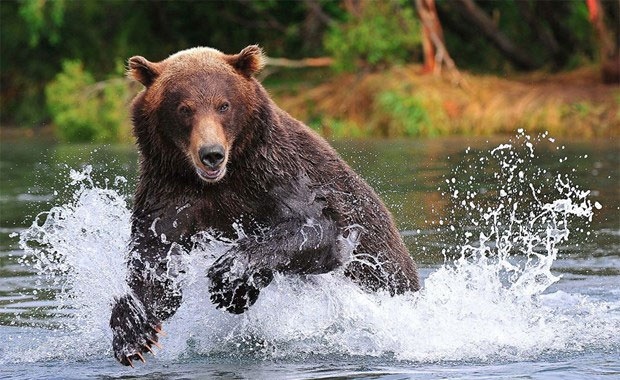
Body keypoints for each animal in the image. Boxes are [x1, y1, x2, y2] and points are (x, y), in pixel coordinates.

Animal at [111, 44, 422, 366]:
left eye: (223, 105)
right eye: (185, 109)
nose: (212, 154)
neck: (223, 179)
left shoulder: (277, 175)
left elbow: (317, 229)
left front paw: (228, 278)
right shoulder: (170, 191)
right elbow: (154, 257)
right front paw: (133, 333)